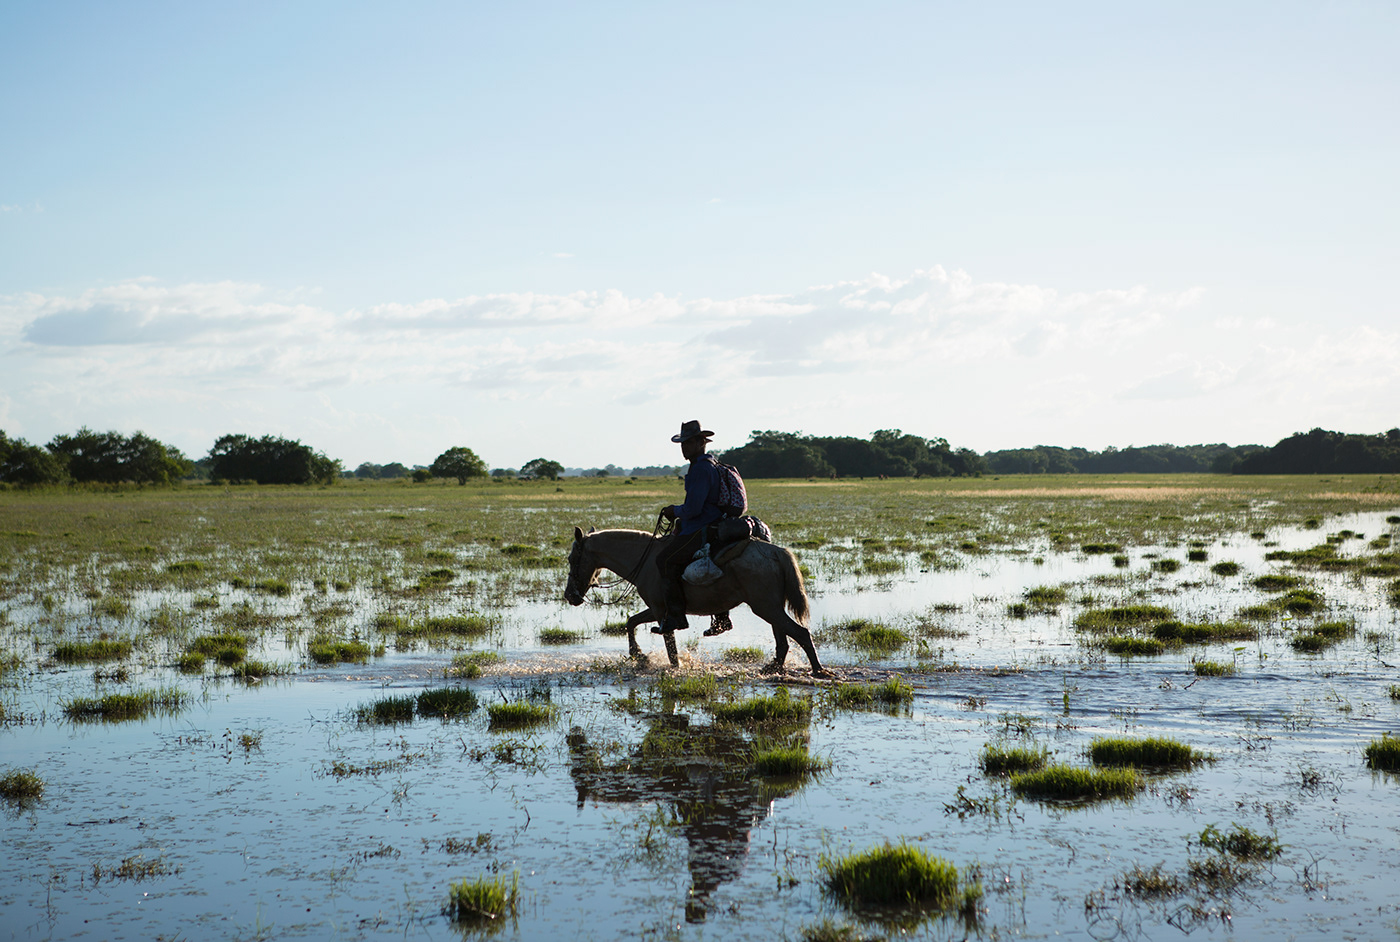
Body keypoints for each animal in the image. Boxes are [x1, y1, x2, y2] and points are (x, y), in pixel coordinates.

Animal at [562, 526, 823, 671]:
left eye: (571, 558)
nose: (570, 596)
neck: (645, 560)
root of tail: (776, 551)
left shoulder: (662, 611)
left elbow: (670, 645)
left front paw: (673, 667)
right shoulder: (659, 608)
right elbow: (631, 621)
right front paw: (639, 655)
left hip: (765, 606)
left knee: (800, 633)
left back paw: (818, 671)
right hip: (771, 606)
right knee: (783, 639)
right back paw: (773, 668)